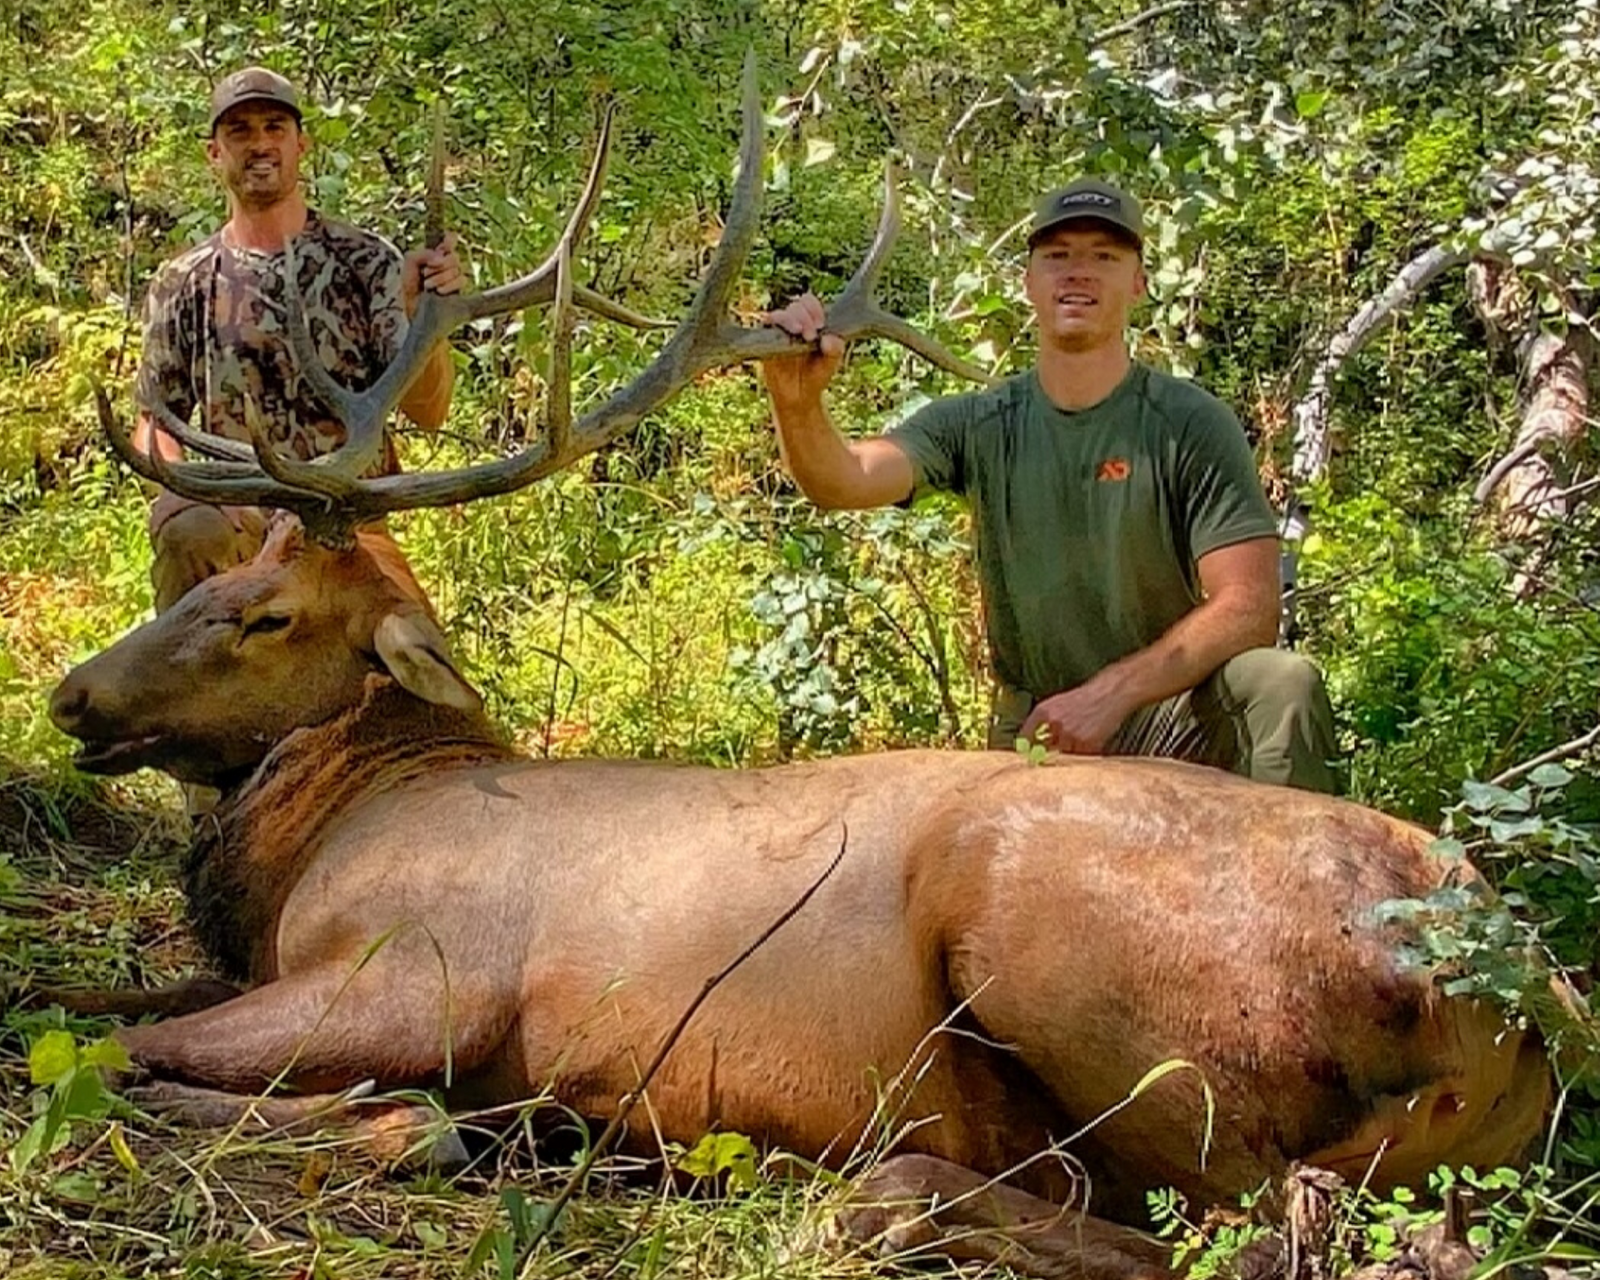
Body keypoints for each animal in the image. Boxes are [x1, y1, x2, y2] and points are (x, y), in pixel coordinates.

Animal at [47, 60, 1548, 1279]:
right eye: (211, 580)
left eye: (264, 615)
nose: (72, 695)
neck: (333, 826)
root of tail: (1516, 985)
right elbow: (95, 1001)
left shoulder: (424, 974)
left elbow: (117, 1048)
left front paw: (410, 1126)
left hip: (1072, 969)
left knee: (1219, 1233)